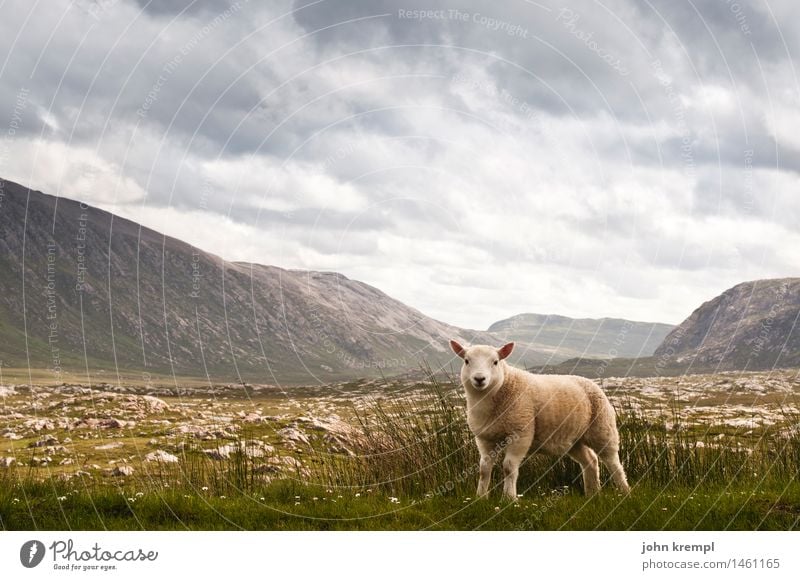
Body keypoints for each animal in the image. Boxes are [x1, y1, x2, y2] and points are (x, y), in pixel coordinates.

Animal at [446, 340, 628, 498]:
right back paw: (593, 494)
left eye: (495, 362)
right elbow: (484, 469)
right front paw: (481, 497)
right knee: (590, 460)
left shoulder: (520, 434)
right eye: (467, 361)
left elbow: (508, 467)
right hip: (573, 439)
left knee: (613, 462)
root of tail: (590, 382)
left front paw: (509, 498)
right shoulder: (484, 438)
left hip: (602, 428)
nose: (479, 379)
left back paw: (624, 491)